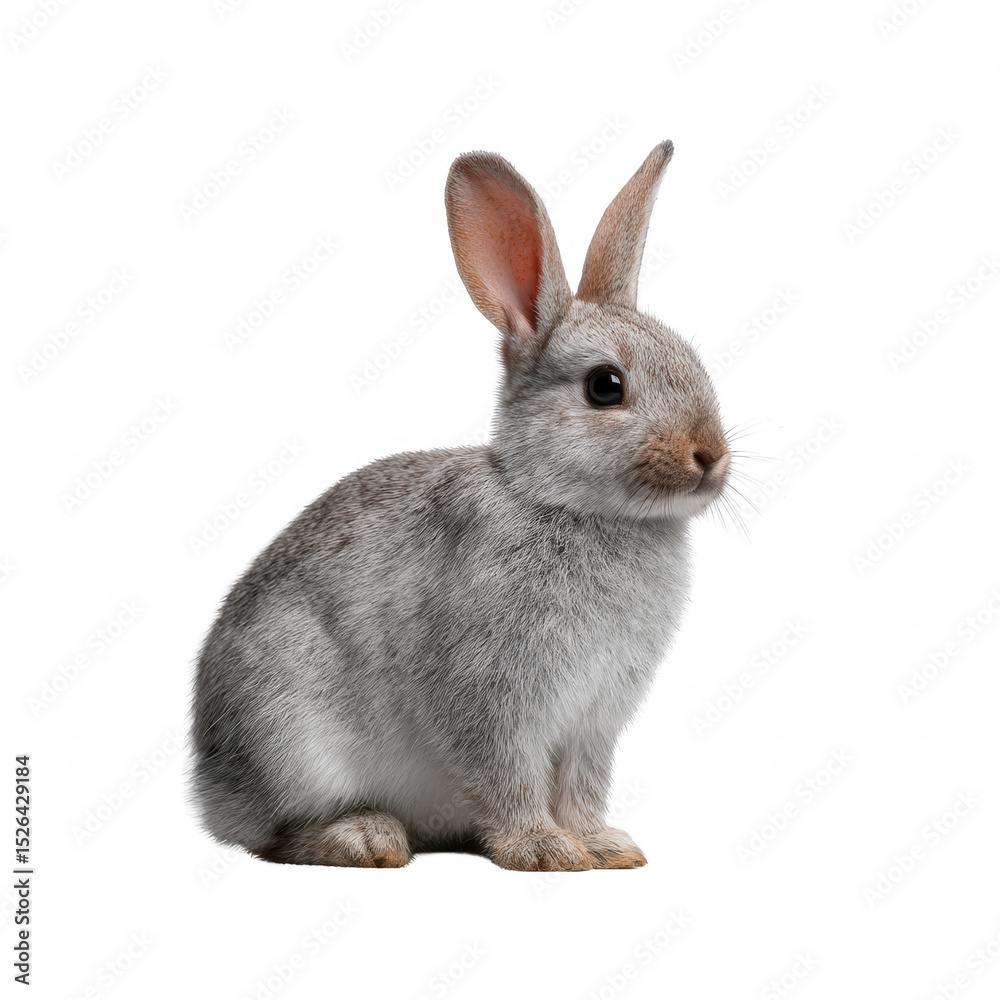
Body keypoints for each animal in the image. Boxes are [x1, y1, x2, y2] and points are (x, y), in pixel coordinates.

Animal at [191, 140, 731, 871]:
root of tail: (209, 787)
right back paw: (366, 837)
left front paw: (605, 847)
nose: (712, 455)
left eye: (693, 361)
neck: (570, 505)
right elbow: (507, 775)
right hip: (292, 740)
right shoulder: (491, 696)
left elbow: (582, 786)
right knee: (276, 836)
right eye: (605, 386)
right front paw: (545, 851)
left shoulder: (592, 721)